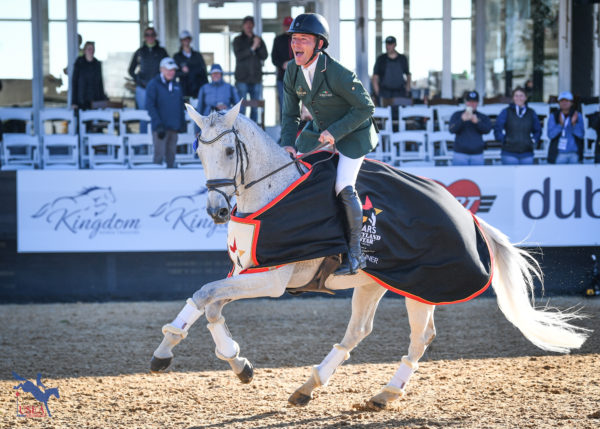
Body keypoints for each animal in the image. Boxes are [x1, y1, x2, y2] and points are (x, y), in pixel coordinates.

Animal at [151, 100, 592, 408]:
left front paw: (165, 352)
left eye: (229, 152)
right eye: (199, 153)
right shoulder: (245, 272)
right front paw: (236, 362)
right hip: (373, 281)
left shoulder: (272, 279)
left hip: (421, 286)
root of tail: (465, 213)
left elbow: (205, 295)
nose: (217, 211)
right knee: (358, 331)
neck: (271, 193)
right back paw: (309, 387)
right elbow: (210, 304)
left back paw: (386, 393)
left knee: (420, 338)